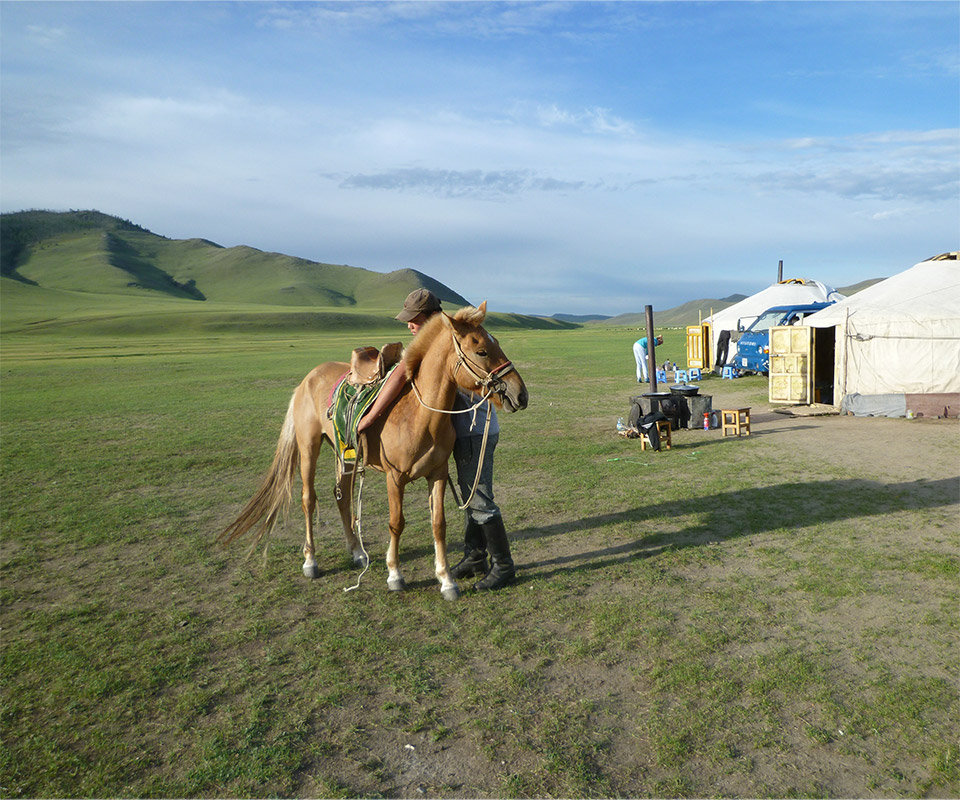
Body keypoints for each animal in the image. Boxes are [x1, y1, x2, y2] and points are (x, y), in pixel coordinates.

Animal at [218, 302, 528, 600]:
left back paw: (356, 552)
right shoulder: (395, 477)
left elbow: (438, 524)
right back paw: (310, 561)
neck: (420, 416)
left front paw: (446, 579)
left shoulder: (438, 474)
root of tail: (308, 378)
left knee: (342, 497)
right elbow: (396, 523)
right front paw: (395, 575)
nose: (520, 394)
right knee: (308, 499)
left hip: (344, 454)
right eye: (482, 350)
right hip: (309, 448)